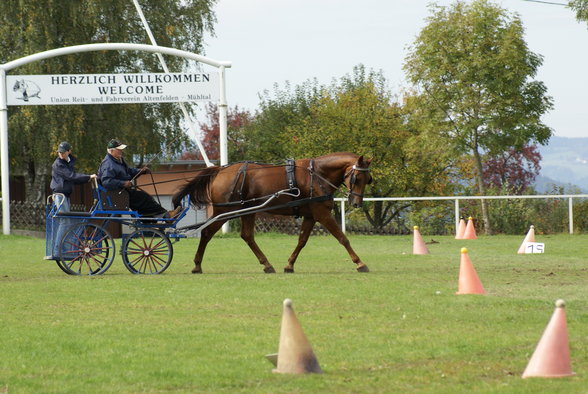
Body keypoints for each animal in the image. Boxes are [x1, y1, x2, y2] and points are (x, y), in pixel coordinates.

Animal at [171, 152, 372, 274]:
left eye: (368, 179)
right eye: (357, 178)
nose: (356, 203)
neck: (317, 175)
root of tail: (220, 170)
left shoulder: (310, 216)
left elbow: (302, 241)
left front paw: (289, 265)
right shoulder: (322, 214)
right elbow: (342, 238)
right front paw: (360, 263)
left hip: (247, 211)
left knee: (247, 236)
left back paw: (266, 264)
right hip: (224, 212)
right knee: (206, 233)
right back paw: (197, 265)